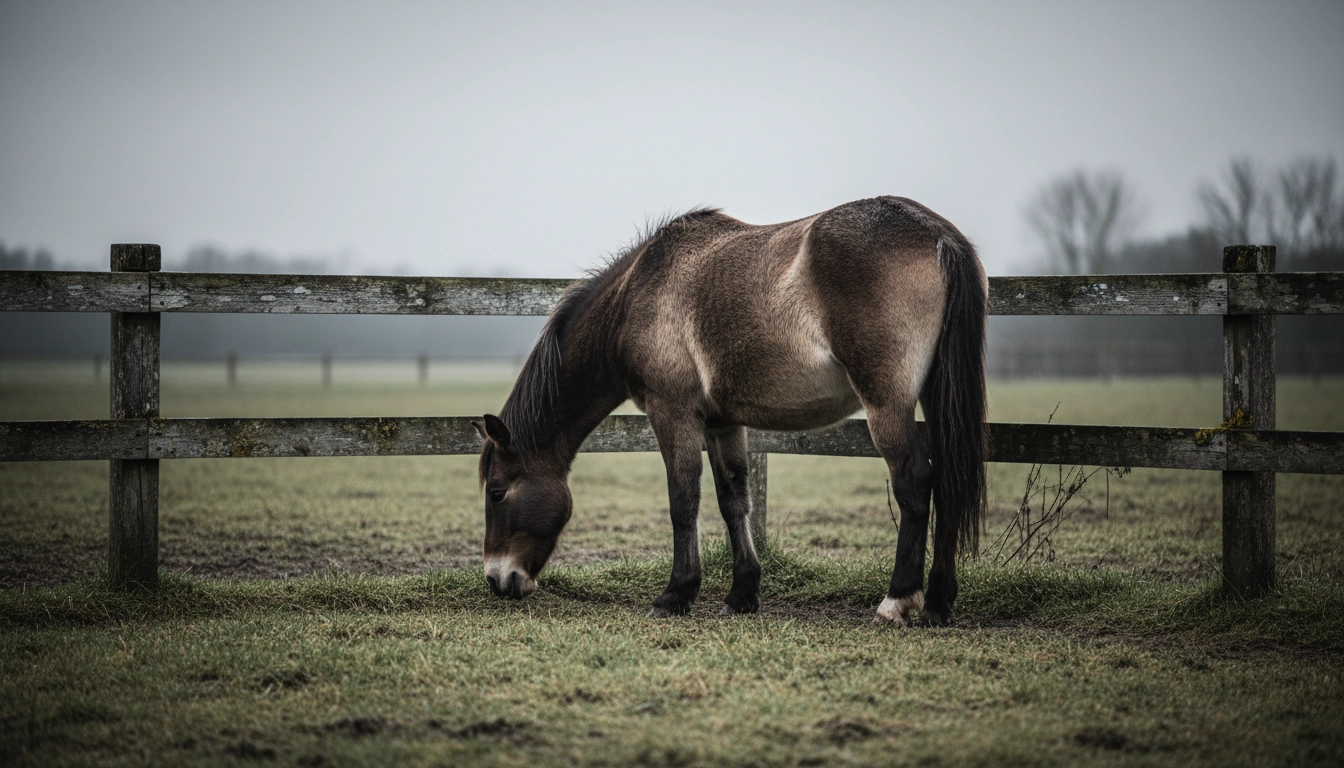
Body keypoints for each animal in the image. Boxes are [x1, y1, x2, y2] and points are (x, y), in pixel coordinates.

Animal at [472, 196, 987, 625]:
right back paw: (938, 603)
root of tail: (939, 234)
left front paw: (676, 594)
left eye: (497, 492)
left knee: (915, 484)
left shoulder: (673, 413)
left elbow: (683, 500)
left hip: (886, 404)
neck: (636, 296)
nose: (497, 579)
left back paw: (897, 600)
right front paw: (742, 593)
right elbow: (733, 500)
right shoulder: (723, 423)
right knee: (946, 483)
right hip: (935, 398)